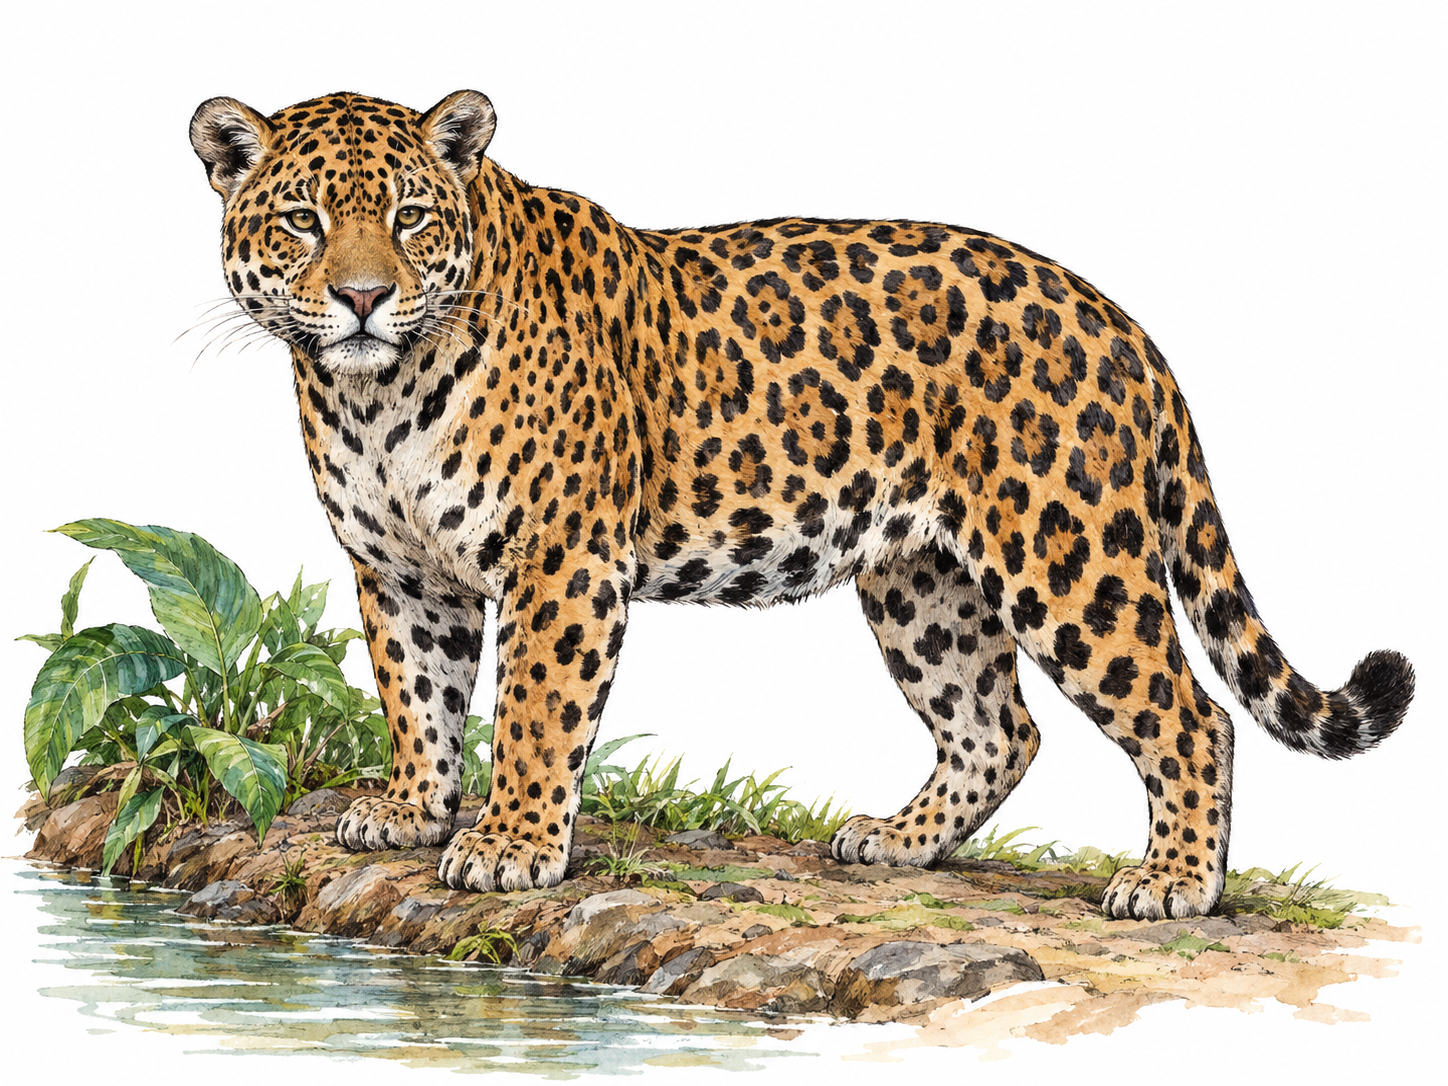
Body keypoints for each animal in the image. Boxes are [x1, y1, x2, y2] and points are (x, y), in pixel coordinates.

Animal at [190, 90, 1414, 920]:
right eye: (300, 221)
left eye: (408, 217)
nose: (362, 297)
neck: (375, 395)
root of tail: (1121, 322)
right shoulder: (400, 570)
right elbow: (419, 695)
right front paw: (410, 810)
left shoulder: (561, 564)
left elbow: (535, 711)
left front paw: (510, 845)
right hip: (923, 583)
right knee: (996, 728)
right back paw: (898, 842)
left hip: (1067, 559)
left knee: (1189, 715)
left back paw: (1172, 883)